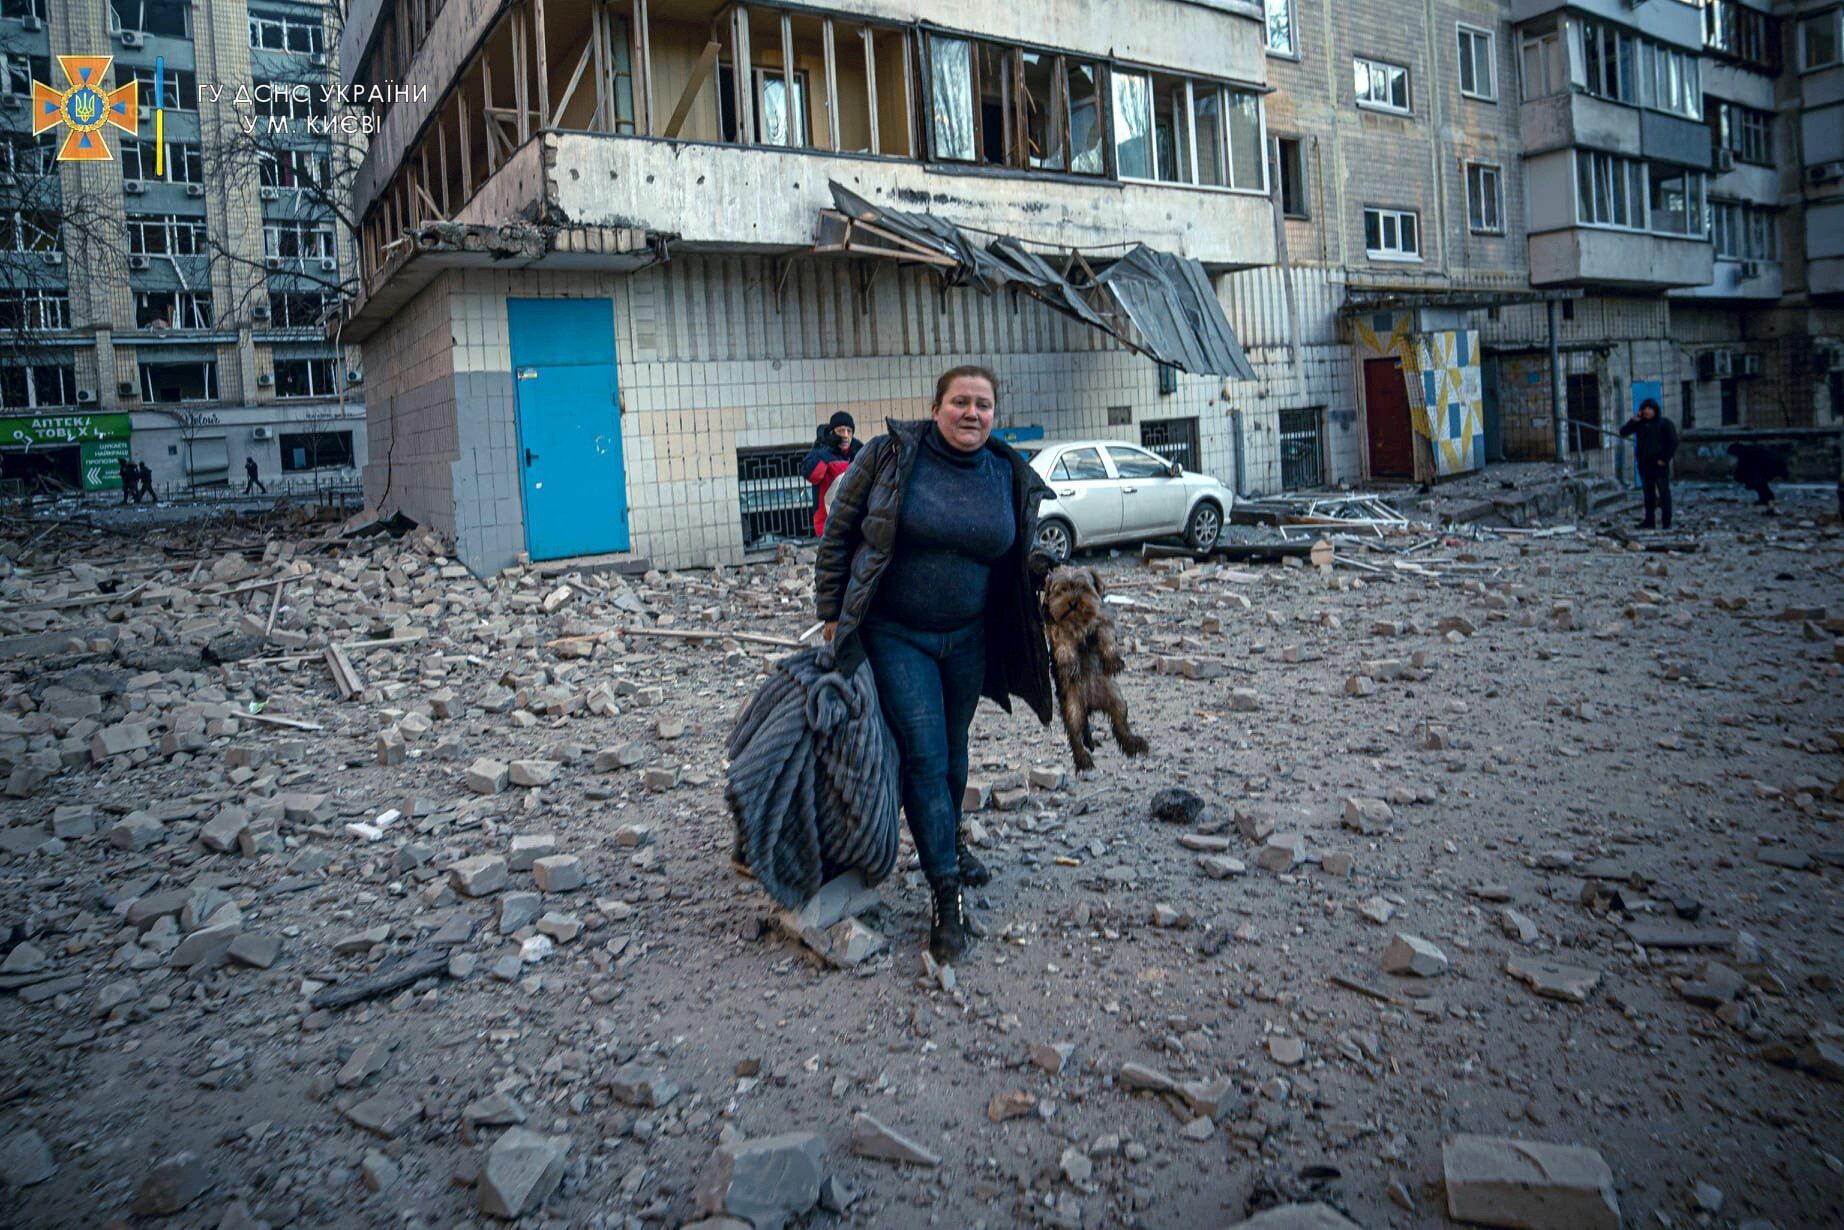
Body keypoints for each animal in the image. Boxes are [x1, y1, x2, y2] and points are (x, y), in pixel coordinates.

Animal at [1047, 564, 1143, 770]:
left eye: (1084, 588)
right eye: (1062, 590)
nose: (1073, 602)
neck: (1078, 622)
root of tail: (1090, 703)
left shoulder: (1102, 621)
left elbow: (1106, 639)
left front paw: (1113, 661)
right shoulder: (1058, 629)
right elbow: (1064, 644)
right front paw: (1069, 666)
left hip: (1114, 697)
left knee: (1120, 723)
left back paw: (1135, 745)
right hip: (1072, 706)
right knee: (1075, 735)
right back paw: (1083, 760)